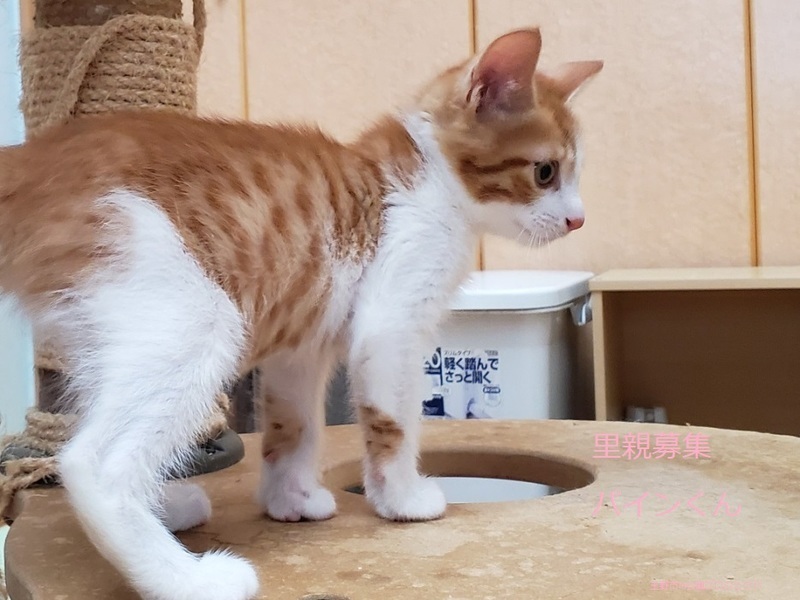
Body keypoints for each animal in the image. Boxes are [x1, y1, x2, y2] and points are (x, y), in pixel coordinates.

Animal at [0, 27, 601, 600]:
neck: (425, 183)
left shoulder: (302, 343)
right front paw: (401, 497)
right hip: (194, 313)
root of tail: (31, 163)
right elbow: (393, 421)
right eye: (546, 172)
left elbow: (295, 424)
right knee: (94, 462)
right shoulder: (391, 322)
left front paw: (290, 497)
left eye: (573, 176)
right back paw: (189, 579)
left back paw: (168, 509)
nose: (578, 219)